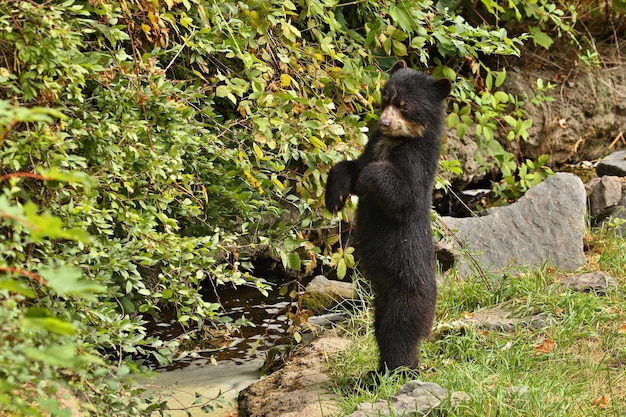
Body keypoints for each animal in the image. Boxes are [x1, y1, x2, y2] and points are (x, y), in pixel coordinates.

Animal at [324, 60, 450, 372]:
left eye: (405, 106)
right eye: (386, 96)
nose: (383, 123)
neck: (395, 141)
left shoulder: (415, 164)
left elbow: (400, 193)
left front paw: (366, 180)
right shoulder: (372, 146)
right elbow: (350, 166)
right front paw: (335, 197)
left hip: (406, 300)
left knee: (398, 335)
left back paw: (396, 371)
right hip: (380, 301)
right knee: (381, 331)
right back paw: (376, 371)